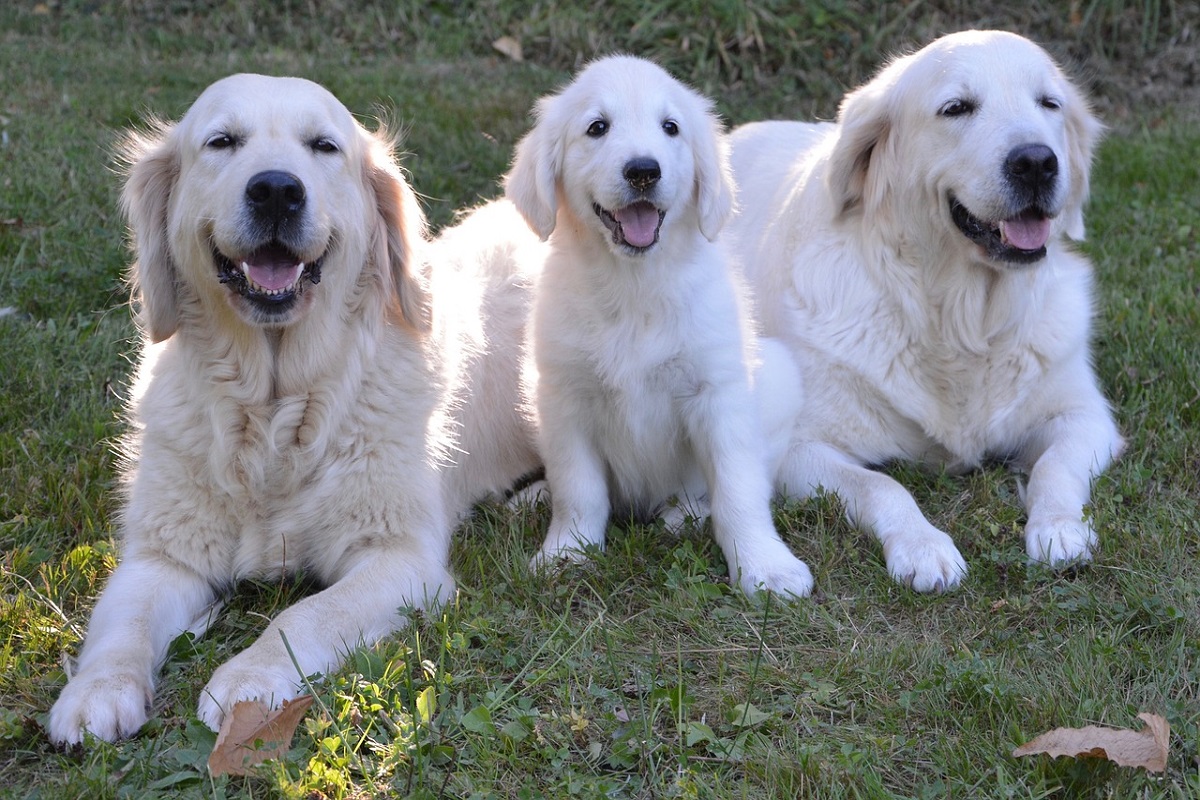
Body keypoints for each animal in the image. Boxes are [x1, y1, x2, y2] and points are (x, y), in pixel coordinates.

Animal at [49, 74, 540, 743]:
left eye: (323, 146)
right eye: (222, 141)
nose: (277, 190)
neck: (275, 407)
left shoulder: (399, 558)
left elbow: (304, 615)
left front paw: (247, 679)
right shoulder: (162, 554)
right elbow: (123, 623)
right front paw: (95, 691)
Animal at [501, 56, 811, 597]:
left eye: (671, 128)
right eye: (597, 127)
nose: (644, 171)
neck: (635, 285)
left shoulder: (719, 394)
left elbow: (738, 489)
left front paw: (765, 566)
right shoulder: (564, 398)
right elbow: (578, 489)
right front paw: (566, 553)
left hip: (778, 377)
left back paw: (683, 515)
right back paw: (535, 497)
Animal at [720, 31, 1123, 592]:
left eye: (1049, 103)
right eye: (956, 108)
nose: (1037, 163)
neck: (959, 318)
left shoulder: (1085, 416)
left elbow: (1054, 468)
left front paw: (1060, 528)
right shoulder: (797, 447)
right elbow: (882, 486)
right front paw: (924, 547)